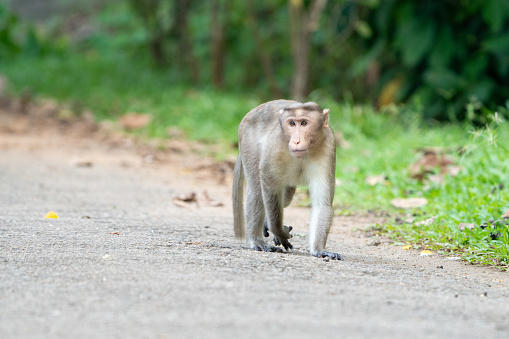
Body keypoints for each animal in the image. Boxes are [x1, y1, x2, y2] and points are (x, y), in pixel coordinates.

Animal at [233, 100, 344, 260]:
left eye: (304, 123)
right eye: (292, 123)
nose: (296, 141)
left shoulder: (328, 146)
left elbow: (322, 203)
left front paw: (319, 250)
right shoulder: (275, 146)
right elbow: (269, 186)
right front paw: (279, 232)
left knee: (287, 195)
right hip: (247, 141)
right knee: (257, 191)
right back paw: (257, 240)